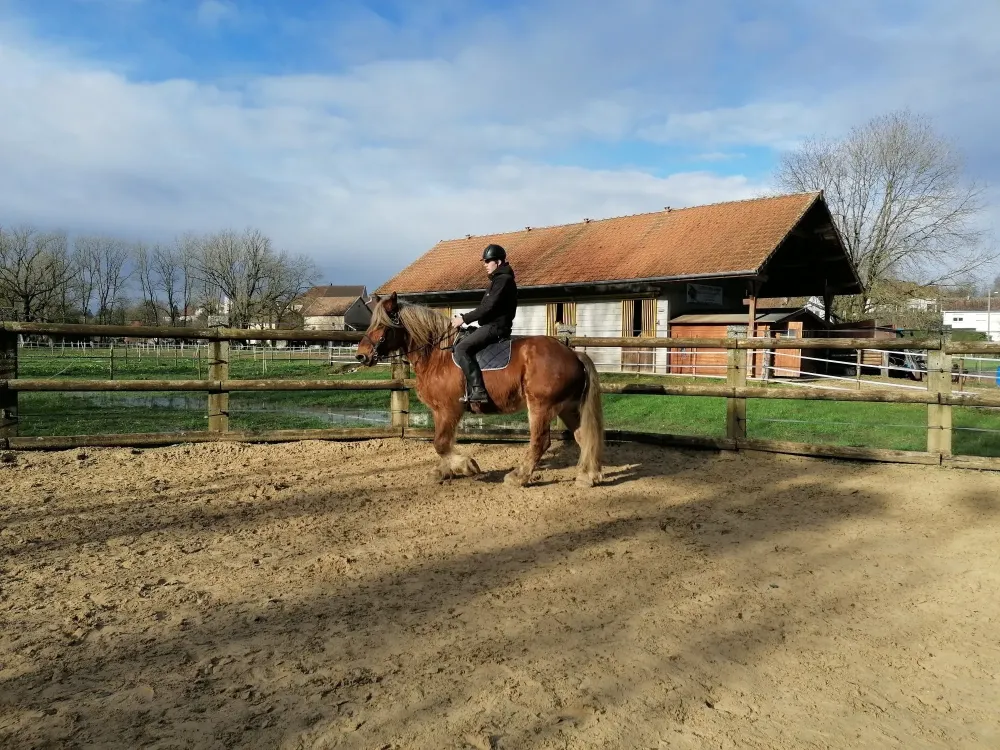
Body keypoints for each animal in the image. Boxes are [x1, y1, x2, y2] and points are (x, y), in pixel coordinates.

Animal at [355, 292, 604, 488]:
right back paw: (588, 476)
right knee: (583, 436)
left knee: (540, 442)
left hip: (541, 407)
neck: (438, 355)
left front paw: (467, 466)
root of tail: (573, 354)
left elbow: (441, 443)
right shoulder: (439, 411)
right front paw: (444, 471)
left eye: (382, 325)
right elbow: (443, 442)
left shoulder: (449, 409)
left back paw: (518, 477)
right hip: (567, 408)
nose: (361, 356)